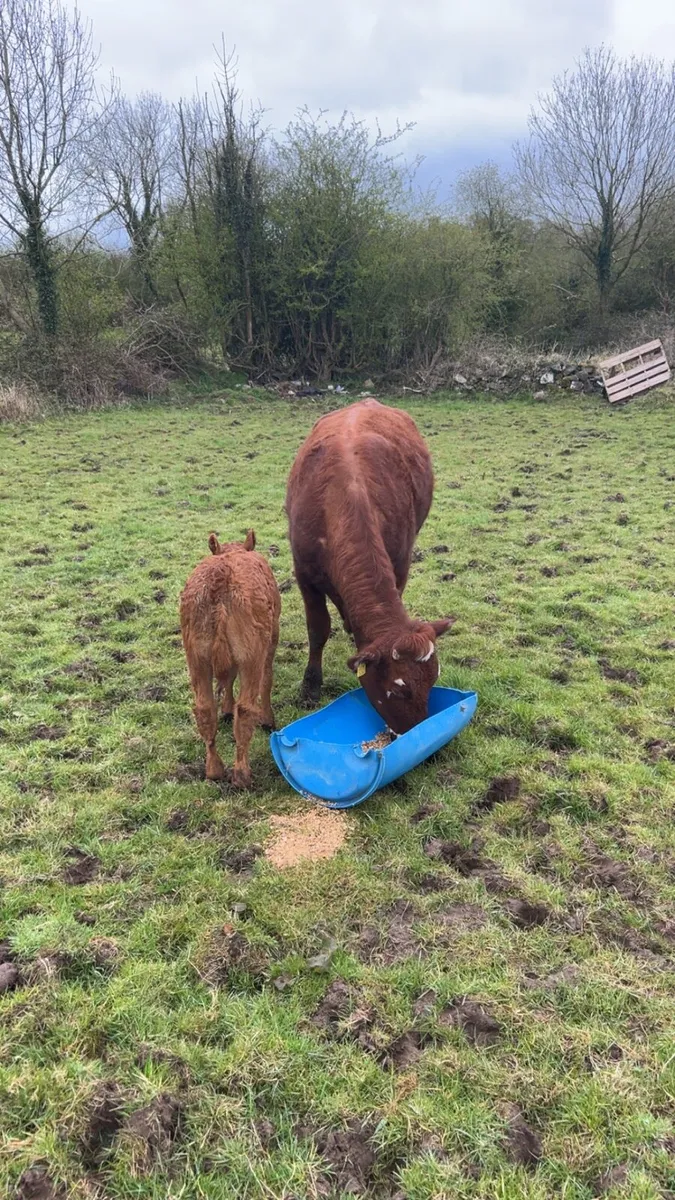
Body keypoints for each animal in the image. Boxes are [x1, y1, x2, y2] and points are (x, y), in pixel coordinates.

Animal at [180, 530, 280, 786]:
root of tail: (220, 576)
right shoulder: (271, 640)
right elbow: (267, 680)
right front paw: (267, 719)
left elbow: (227, 681)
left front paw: (226, 709)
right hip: (252, 655)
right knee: (245, 710)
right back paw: (242, 775)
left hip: (196, 657)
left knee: (205, 709)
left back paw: (214, 769)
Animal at [286, 398, 454, 734]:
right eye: (399, 689)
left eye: (433, 682)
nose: (414, 731)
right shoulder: (304, 574)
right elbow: (317, 630)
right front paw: (310, 686)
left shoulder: (400, 563)